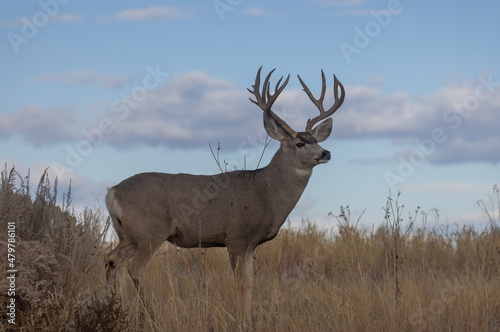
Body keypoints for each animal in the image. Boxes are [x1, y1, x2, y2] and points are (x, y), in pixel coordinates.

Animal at [102, 67, 344, 316]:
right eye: (299, 144)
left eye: (315, 140)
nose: (325, 153)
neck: (266, 192)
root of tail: (112, 192)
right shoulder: (237, 236)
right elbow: (241, 282)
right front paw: (241, 318)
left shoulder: (251, 244)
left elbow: (250, 282)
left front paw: (248, 316)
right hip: (151, 231)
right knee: (135, 268)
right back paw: (149, 313)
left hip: (129, 234)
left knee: (111, 259)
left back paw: (111, 306)